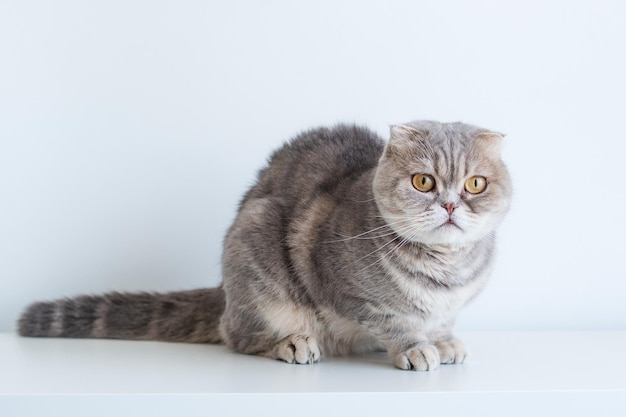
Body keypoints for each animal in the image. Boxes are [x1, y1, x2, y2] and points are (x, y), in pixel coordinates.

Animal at [18, 121, 512, 370]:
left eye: (475, 183)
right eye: (423, 181)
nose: (450, 204)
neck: (445, 271)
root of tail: (224, 293)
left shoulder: (450, 306)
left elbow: (441, 322)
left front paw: (443, 341)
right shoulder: (347, 289)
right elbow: (393, 319)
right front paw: (414, 347)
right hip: (256, 258)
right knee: (237, 335)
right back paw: (292, 344)